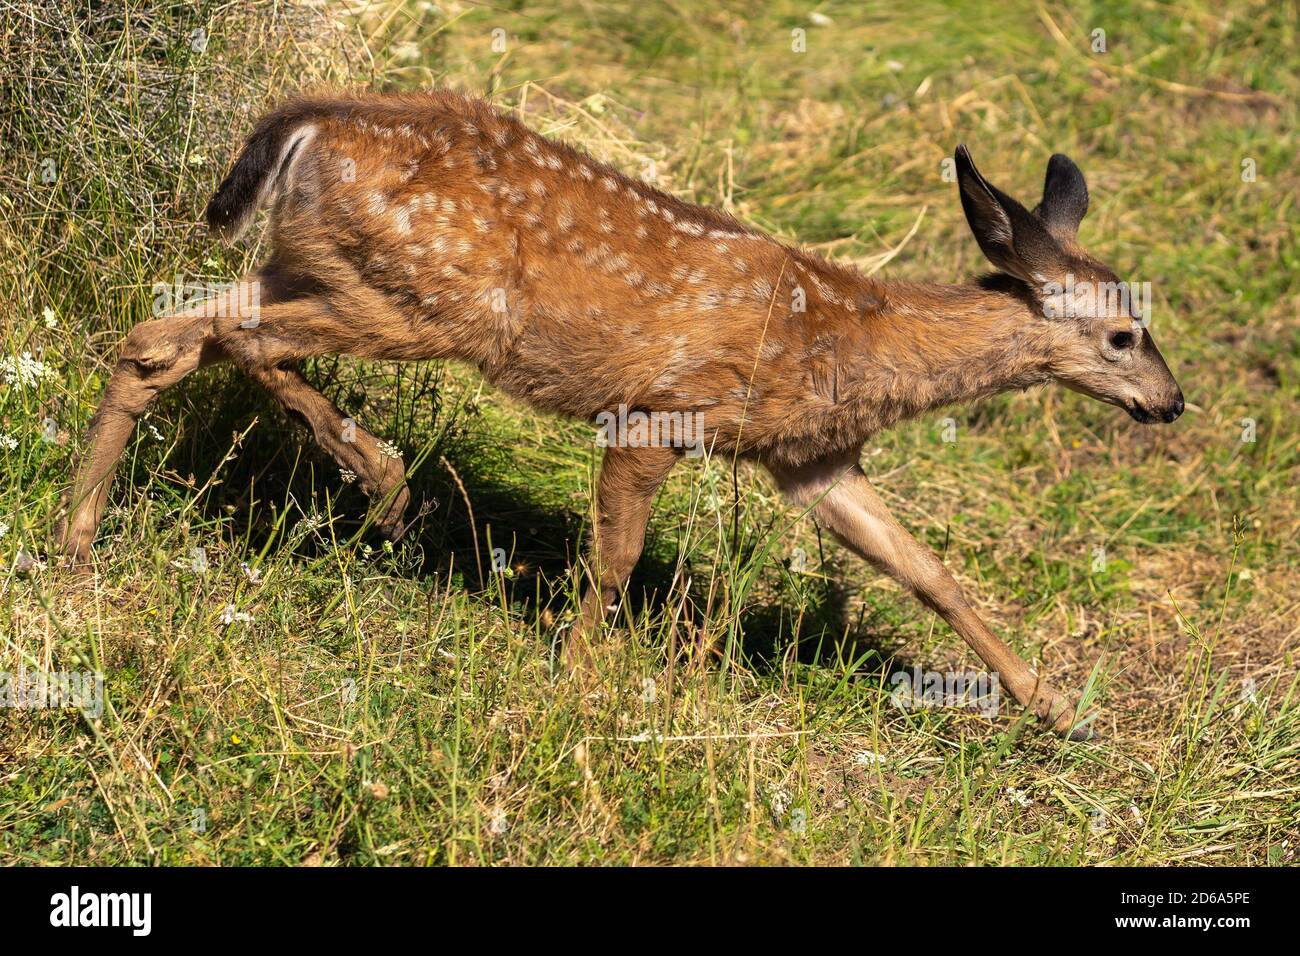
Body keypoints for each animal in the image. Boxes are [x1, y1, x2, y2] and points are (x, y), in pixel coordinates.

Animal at [57, 90, 1184, 739]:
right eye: (1123, 335)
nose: (1170, 402)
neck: (849, 338)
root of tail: (306, 122)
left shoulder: (813, 461)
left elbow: (929, 573)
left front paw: (1057, 707)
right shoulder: (661, 414)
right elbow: (616, 555)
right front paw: (577, 672)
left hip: (316, 264)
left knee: (163, 334)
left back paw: (75, 540)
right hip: (431, 302)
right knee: (235, 341)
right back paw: (382, 481)